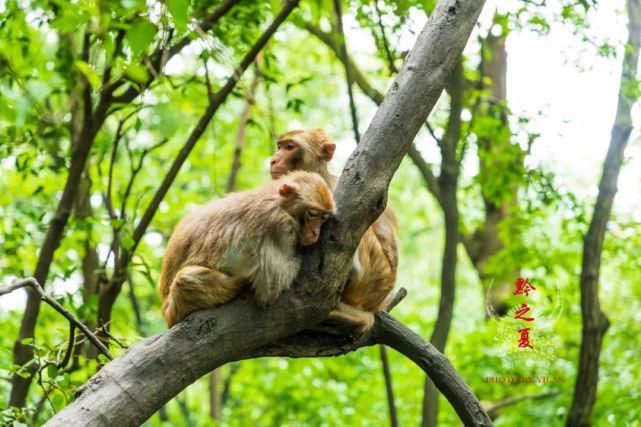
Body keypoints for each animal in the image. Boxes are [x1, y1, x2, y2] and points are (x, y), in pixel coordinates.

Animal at [159, 171, 336, 328]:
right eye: (312, 213)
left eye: (324, 217)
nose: (315, 232)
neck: (276, 200)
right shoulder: (278, 223)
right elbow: (271, 288)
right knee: (186, 279)